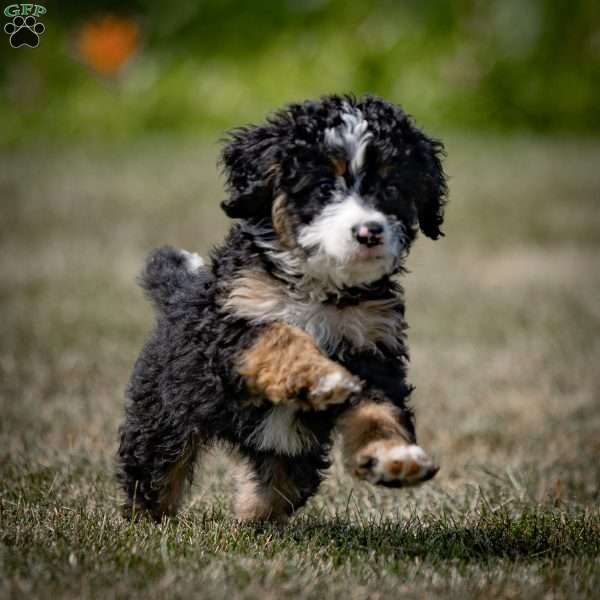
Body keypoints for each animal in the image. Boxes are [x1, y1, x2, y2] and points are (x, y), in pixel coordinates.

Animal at [117, 92, 448, 520]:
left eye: (391, 188)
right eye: (323, 188)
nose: (369, 232)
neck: (319, 287)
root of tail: (177, 294)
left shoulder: (374, 347)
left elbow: (380, 411)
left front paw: (395, 456)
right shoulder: (231, 328)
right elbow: (280, 336)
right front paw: (322, 376)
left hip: (291, 454)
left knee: (277, 487)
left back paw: (251, 515)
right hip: (165, 412)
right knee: (156, 468)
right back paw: (147, 519)